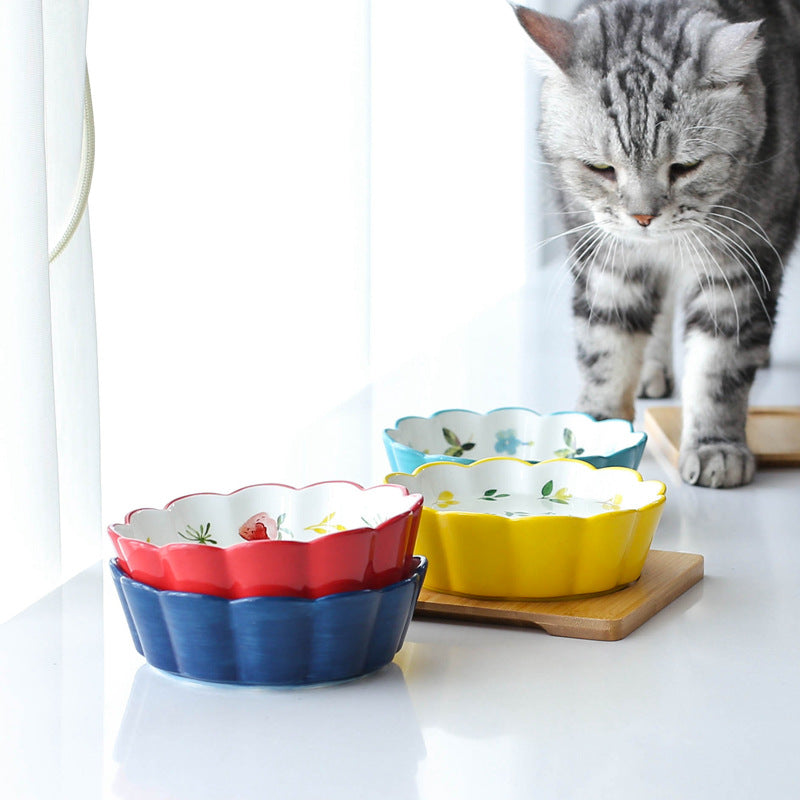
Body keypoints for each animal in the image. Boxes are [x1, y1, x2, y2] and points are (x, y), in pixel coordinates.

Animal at [512, 0, 800, 484]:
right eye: (601, 168)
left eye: (685, 166)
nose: (643, 217)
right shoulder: (609, 262)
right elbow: (607, 347)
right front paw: (596, 429)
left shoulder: (739, 266)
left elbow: (718, 367)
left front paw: (715, 445)